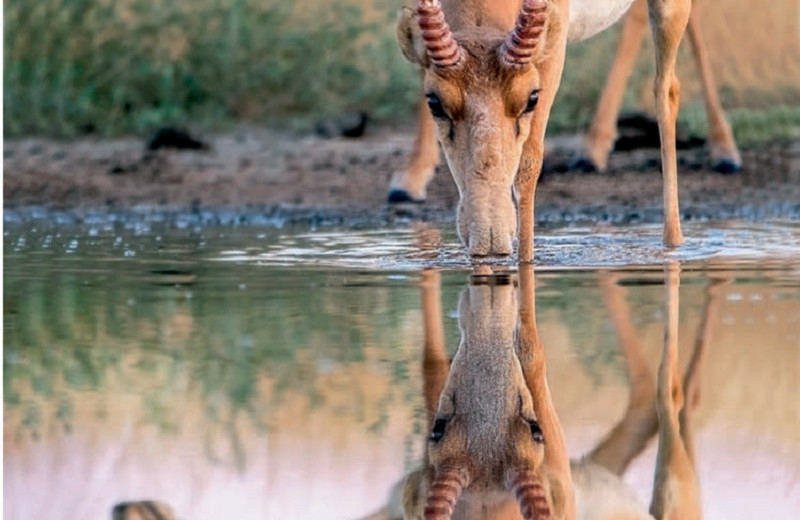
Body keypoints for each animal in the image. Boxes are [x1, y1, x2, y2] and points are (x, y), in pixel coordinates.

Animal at [388, 0, 744, 260]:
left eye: (532, 97)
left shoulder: (552, 42)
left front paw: (525, 261)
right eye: (434, 101)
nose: (489, 237)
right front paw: (409, 180)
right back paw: (593, 151)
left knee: (667, 89)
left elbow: (529, 163)